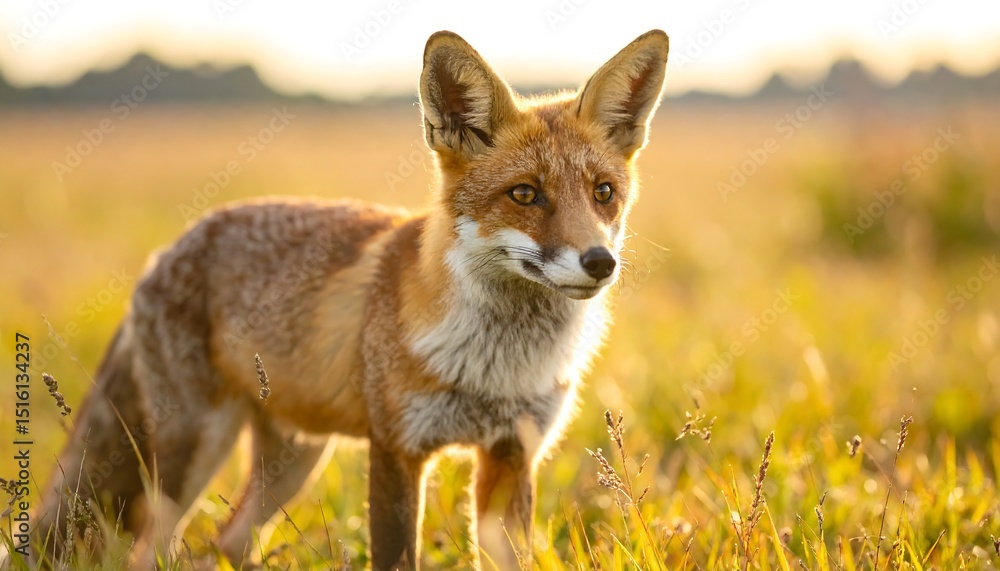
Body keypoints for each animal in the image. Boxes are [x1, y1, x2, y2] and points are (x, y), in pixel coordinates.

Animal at [34, 29, 669, 570]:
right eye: (525, 195)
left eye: (603, 193)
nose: (600, 262)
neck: (495, 367)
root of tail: (168, 248)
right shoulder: (396, 449)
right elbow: (397, 555)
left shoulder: (513, 454)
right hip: (196, 449)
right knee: (150, 549)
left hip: (292, 461)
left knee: (225, 544)